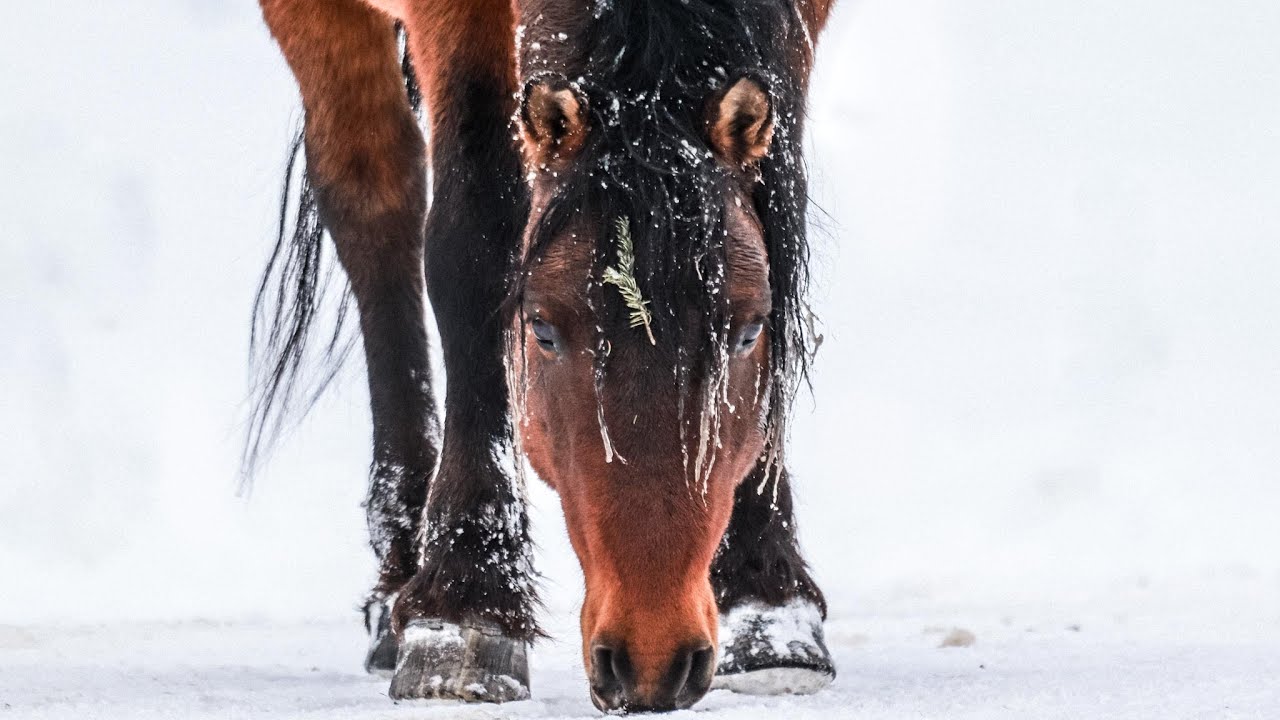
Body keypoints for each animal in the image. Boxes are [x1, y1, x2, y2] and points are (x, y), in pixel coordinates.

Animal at [252, 0, 835, 712]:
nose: (652, 659)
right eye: (542, 330)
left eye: (750, 330)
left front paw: (768, 599)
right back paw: (399, 580)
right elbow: (477, 235)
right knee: (376, 201)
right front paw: (467, 604)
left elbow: (780, 206)